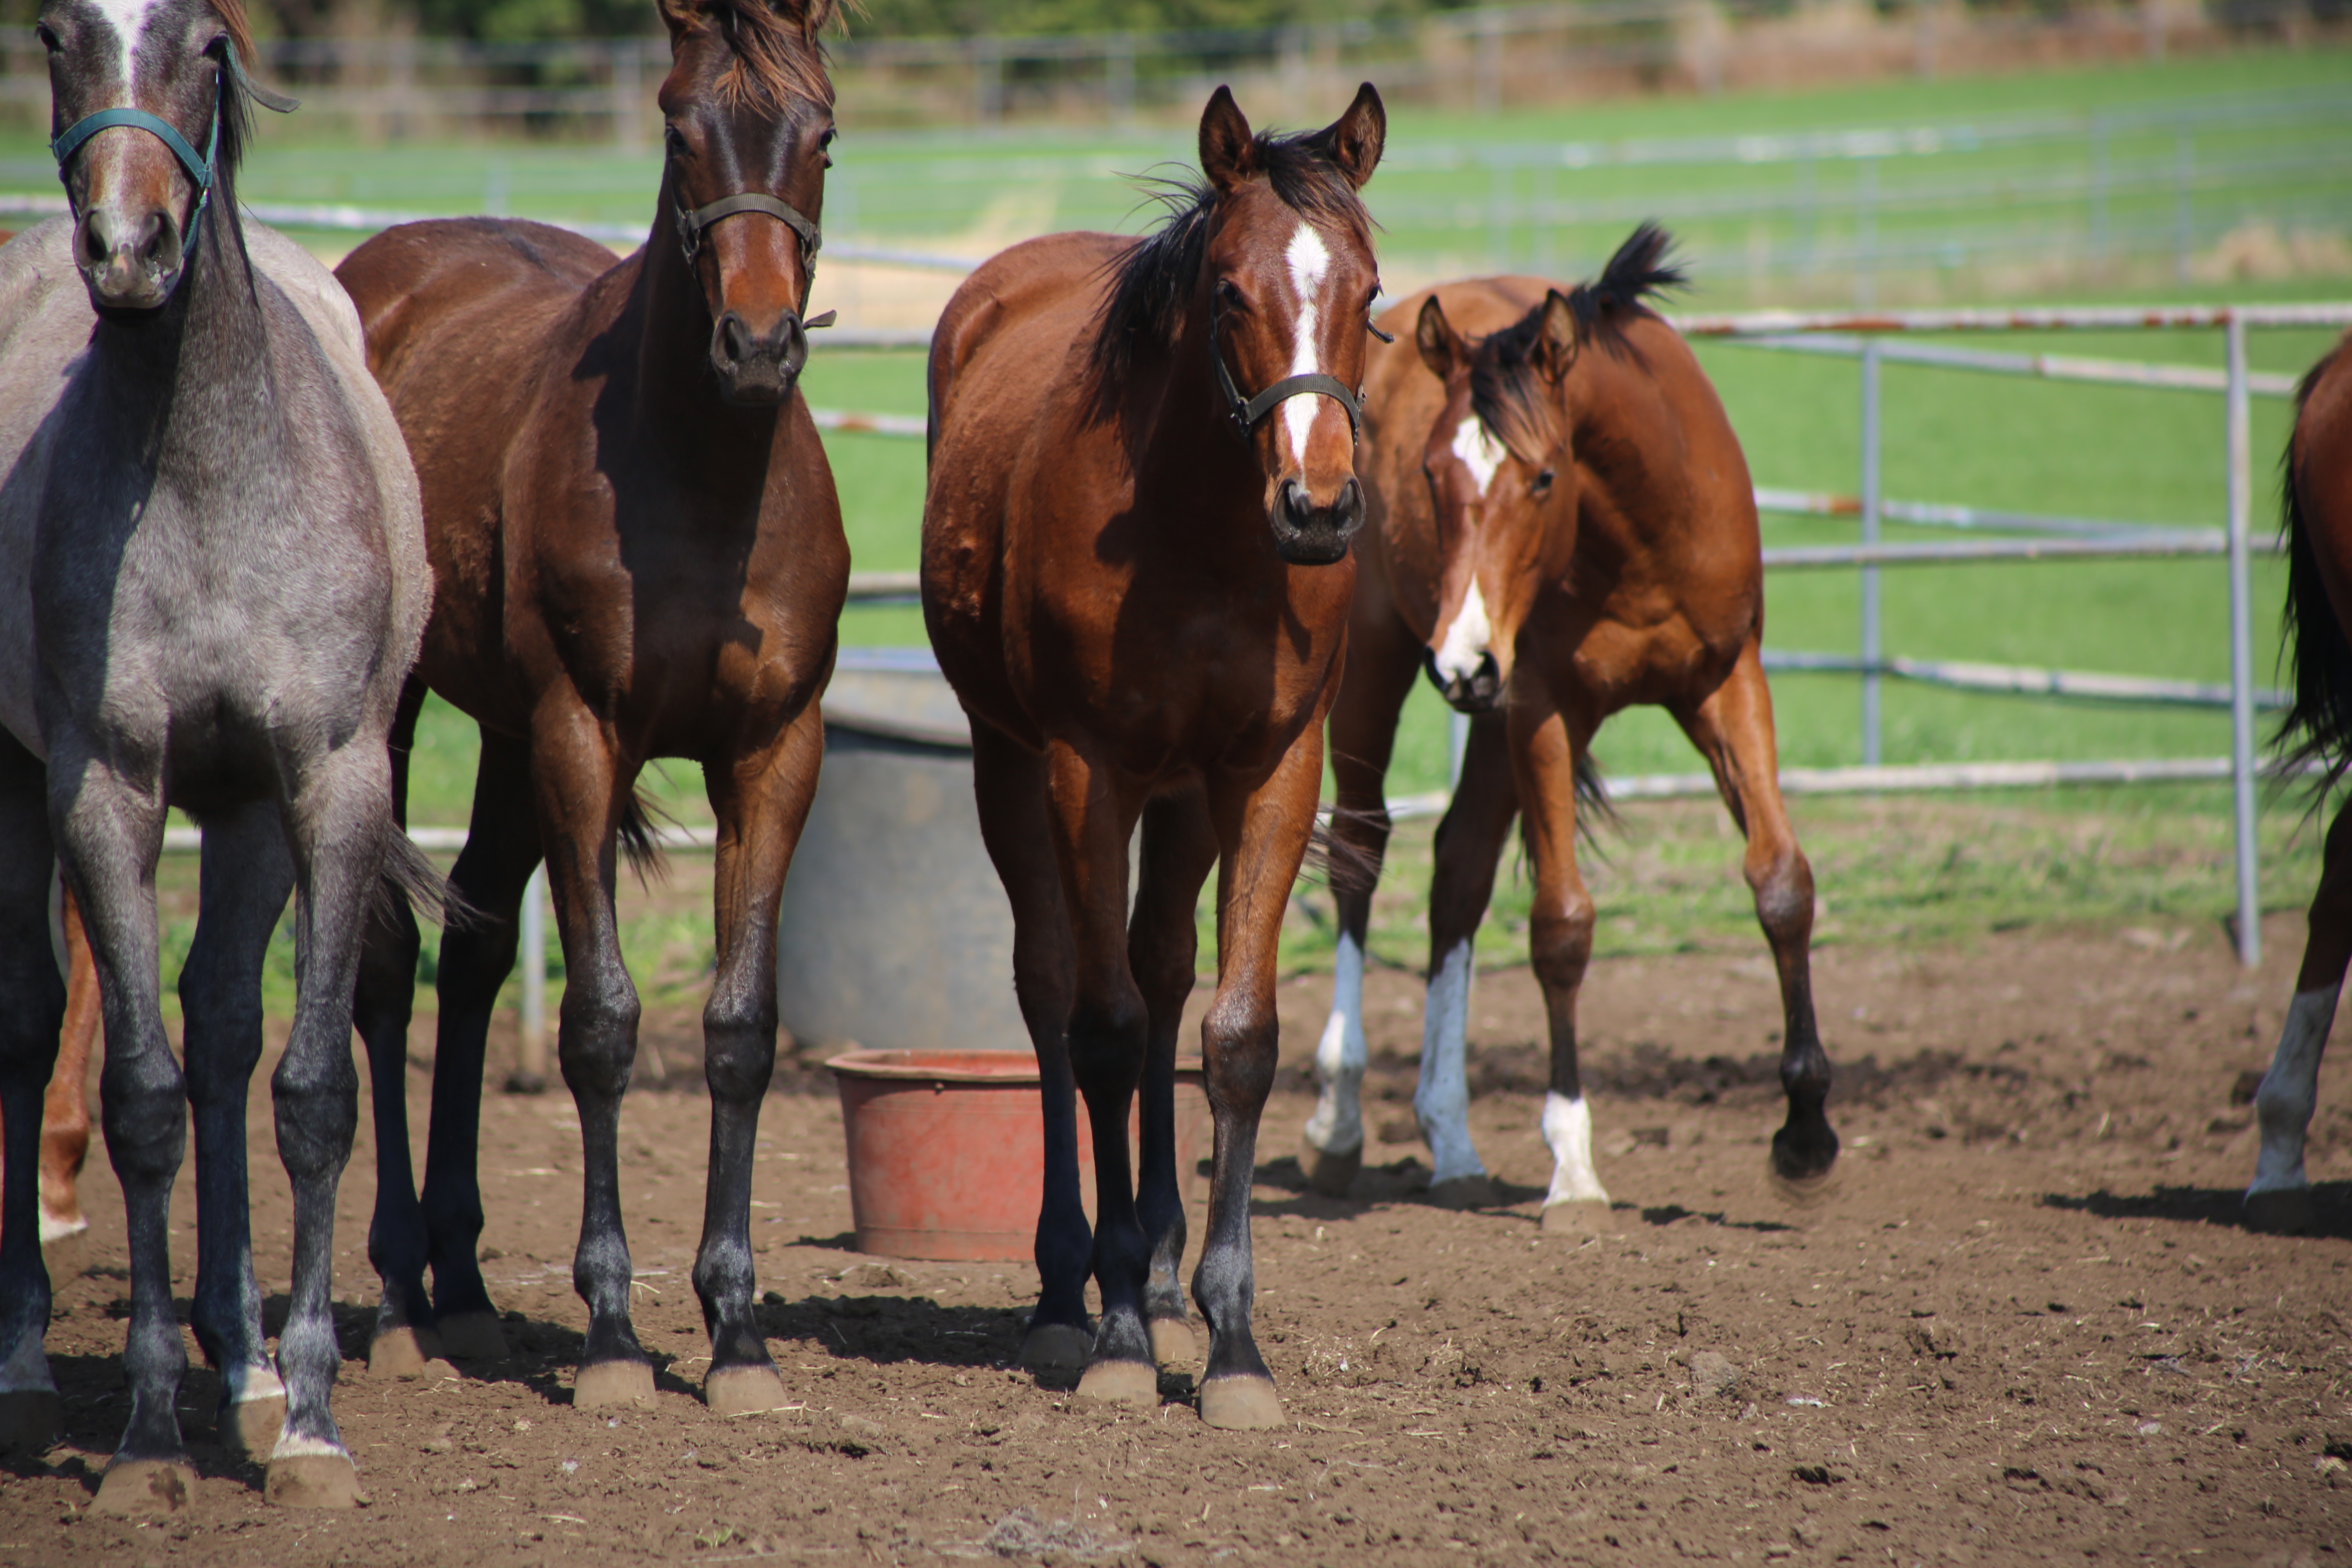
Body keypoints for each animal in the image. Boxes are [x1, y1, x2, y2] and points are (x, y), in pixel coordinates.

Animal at [0, 0, 432, 1504]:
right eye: (59, 36)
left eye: (203, 41)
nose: (128, 250)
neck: (202, 474)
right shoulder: (107, 788)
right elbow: (141, 1100)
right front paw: (143, 1432)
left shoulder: (327, 778)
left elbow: (306, 1092)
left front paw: (304, 1416)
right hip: (18, 782)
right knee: (32, 1025)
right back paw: (28, 1357)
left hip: (245, 813)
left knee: (230, 1028)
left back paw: (244, 1363)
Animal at [332, 0, 846, 1420]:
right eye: (680, 132)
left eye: (823, 132)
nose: (758, 347)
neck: (705, 476)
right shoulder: (581, 735)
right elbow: (603, 1025)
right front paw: (615, 1332)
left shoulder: (773, 753)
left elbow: (740, 1027)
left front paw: (737, 1335)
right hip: (405, 714)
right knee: (388, 968)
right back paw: (403, 1298)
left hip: (506, 741)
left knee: (471, 956)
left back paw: (464, 1284)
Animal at [927, 89, 1383, 1439]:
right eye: (1229, 292)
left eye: (1371, 294)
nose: (1320, 507)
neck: (1202, 534)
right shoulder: (1090, 772)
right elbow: (1107, 1029)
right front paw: (1120, 1324)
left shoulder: (1269, 773)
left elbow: (1231, 1035)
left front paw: (1228, 1339)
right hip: (1012, 767)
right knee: (1056, 993)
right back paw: (1068, 1290)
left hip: (1184, 803)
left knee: (1166, 968)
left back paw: (1174, 1283)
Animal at [1307, 227, 1834, 1222]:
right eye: (1431, 473)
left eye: (1545, 476)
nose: (1460, 658)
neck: (1641, 538)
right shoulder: (1542, 708)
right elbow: (1561, 924)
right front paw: (1574, 1161)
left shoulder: (1728, 685)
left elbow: (1781, 884)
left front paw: (1807, 1132)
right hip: (1384, 675)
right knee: (1362, 851)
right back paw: (1337, 1117)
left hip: (1491, 711)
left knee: (1459, 869)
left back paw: (1451, 1137)